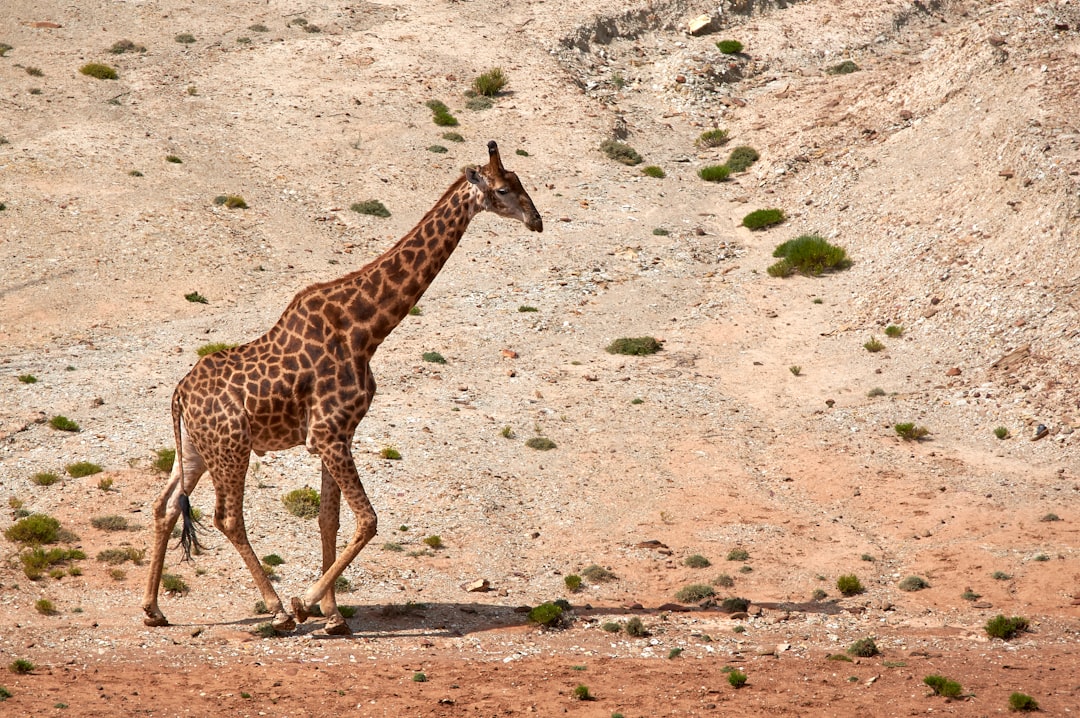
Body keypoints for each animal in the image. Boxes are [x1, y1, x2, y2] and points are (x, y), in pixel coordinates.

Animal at [145, 140, 540, 634]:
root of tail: (179, 394)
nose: (536, 220)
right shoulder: (328, 434)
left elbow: (328, 520)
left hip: (196, 449)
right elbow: (367, 520)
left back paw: (153, 609)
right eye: (503, 188)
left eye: (522, 182)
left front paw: (333, 616)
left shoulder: (339, 434)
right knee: (228, 518)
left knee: (163, 506)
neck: (365, 329)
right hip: (231, 447)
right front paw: (306, 603)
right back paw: (277, 609)